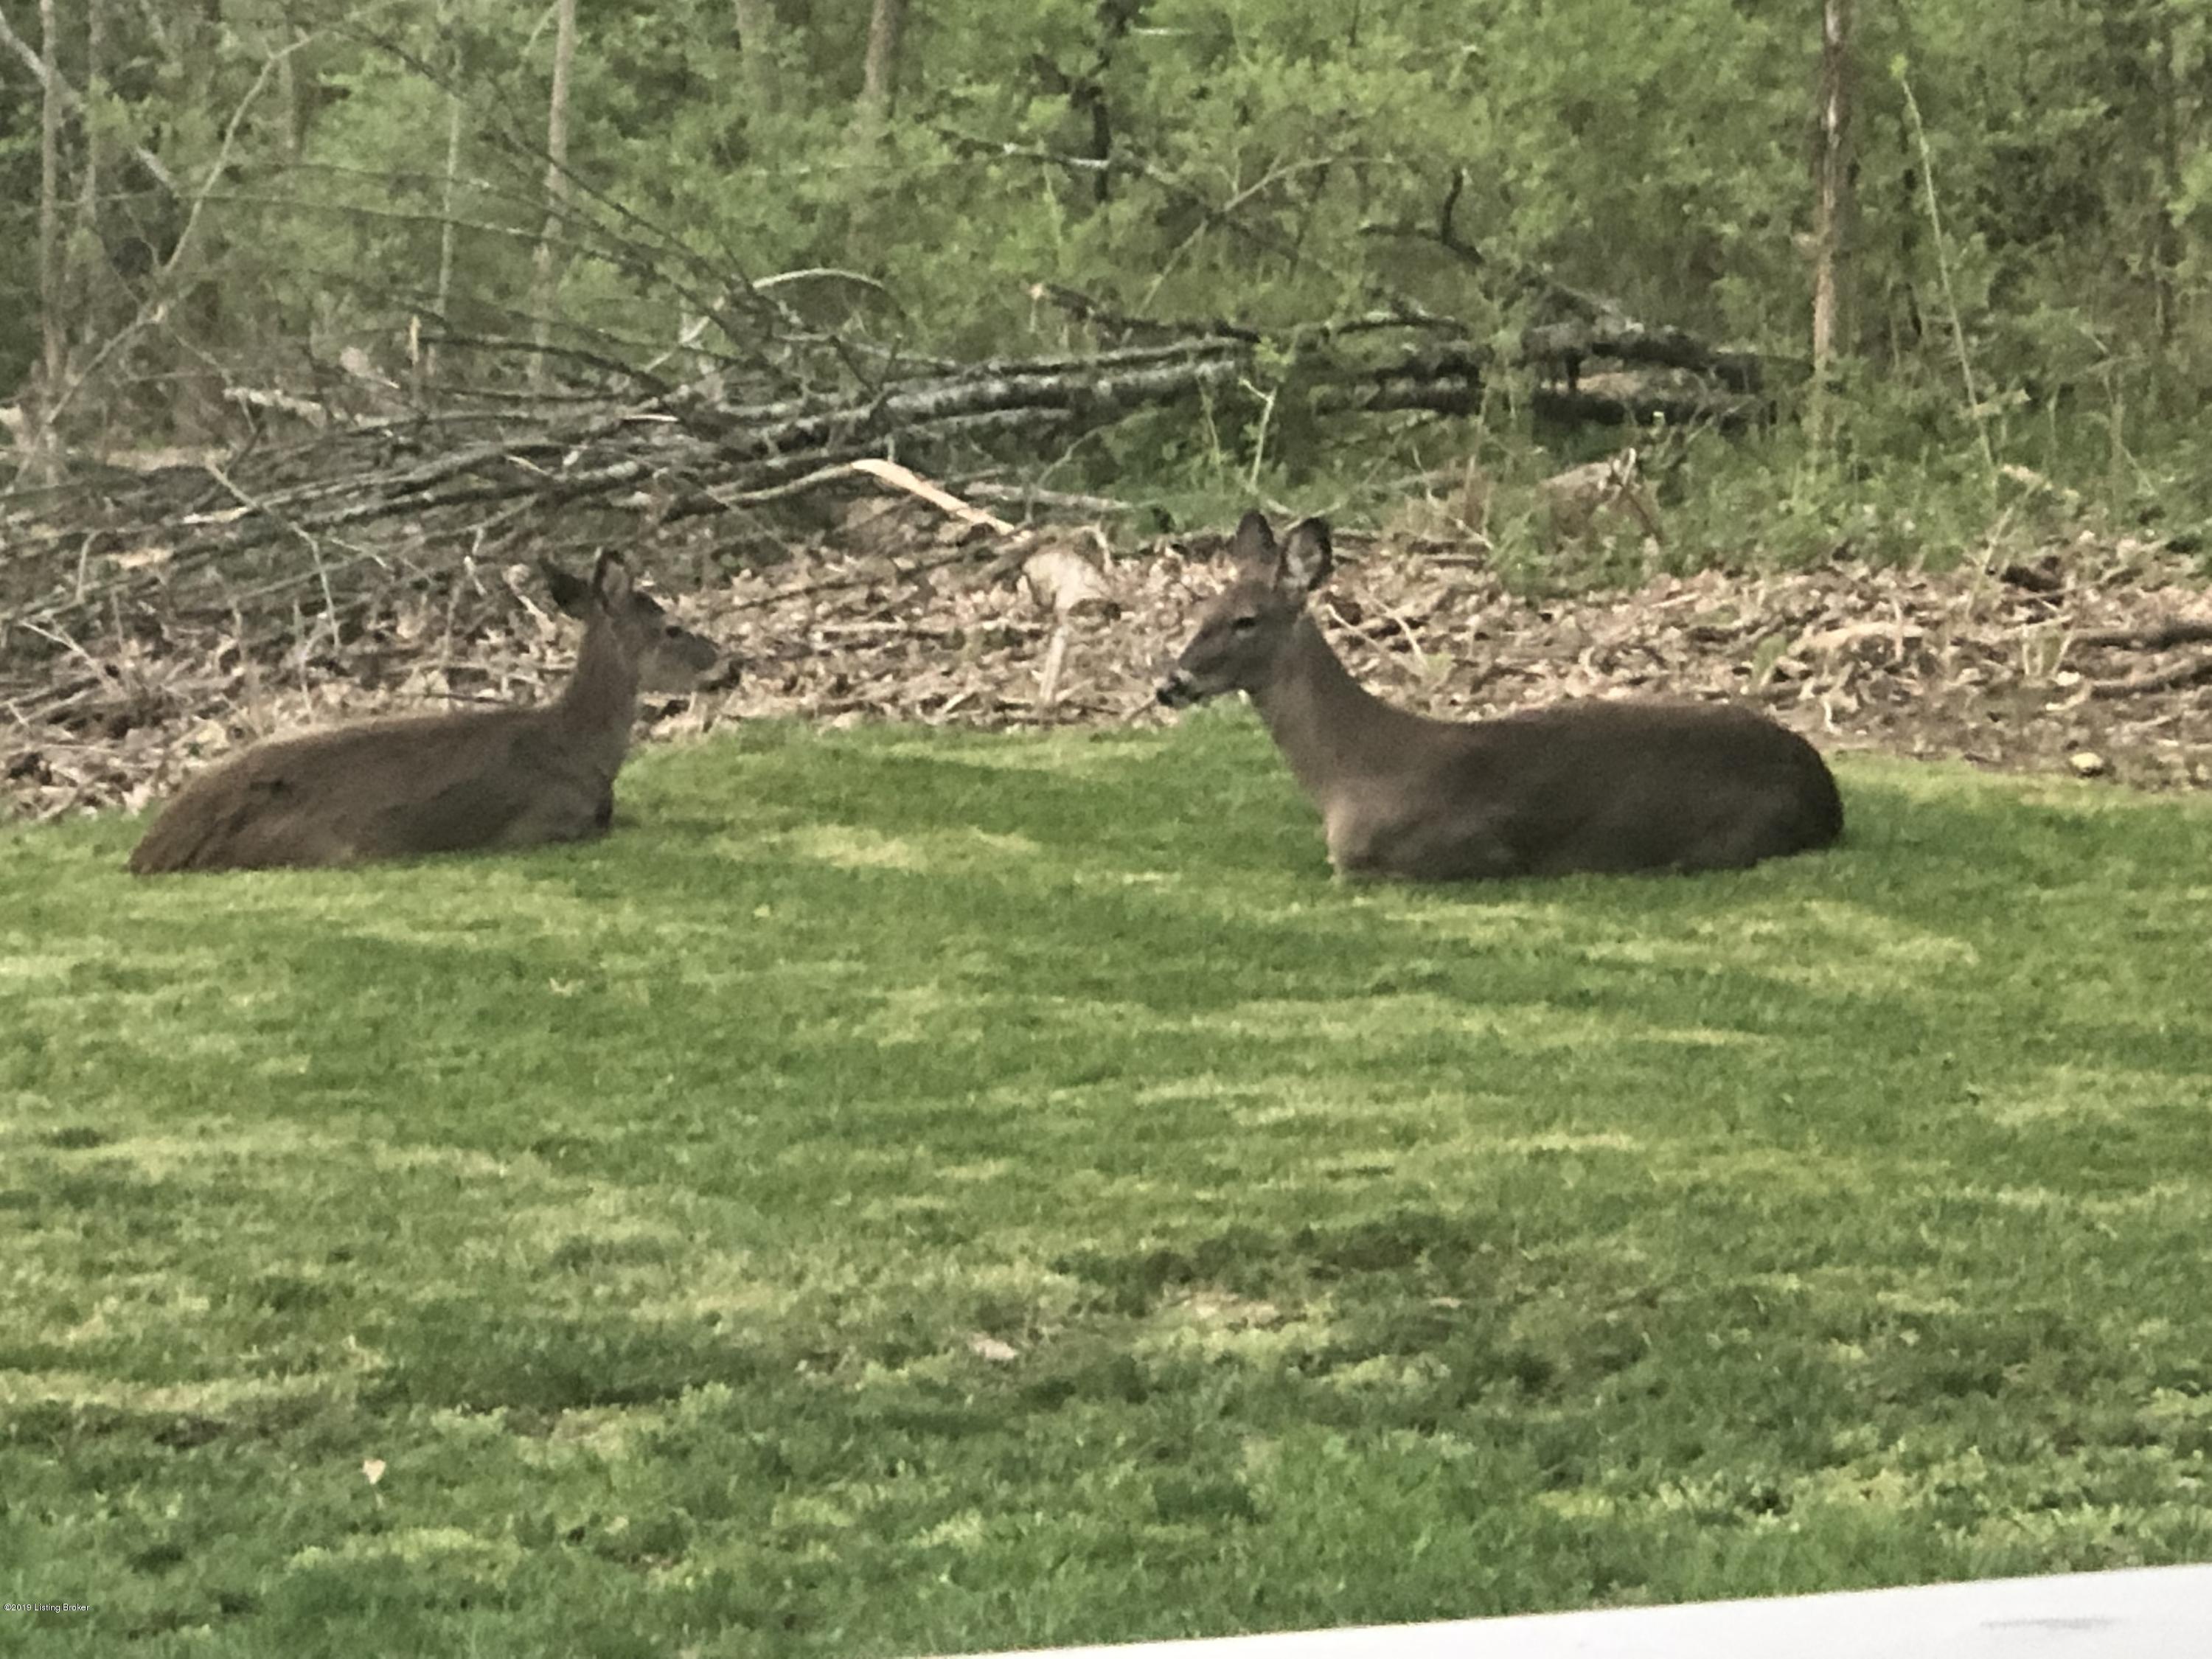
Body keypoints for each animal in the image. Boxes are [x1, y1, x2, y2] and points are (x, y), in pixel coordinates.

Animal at [1156, 511, 1843, 881]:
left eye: (1245, 620)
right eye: (1202, 610)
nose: (1169, 684)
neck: (1352, 773)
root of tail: (1827, 795)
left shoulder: (1465, 849)